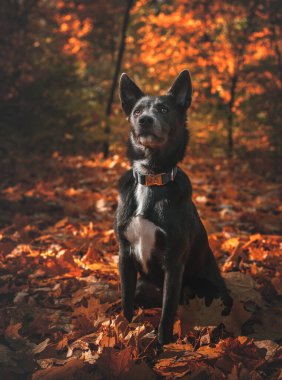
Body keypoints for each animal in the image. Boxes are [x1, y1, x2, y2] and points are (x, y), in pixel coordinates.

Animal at [114, 70, 231, 346]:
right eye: (137, 111)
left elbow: (167, 313)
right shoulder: (125, 255)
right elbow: (126, 302)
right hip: (144, 285)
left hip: (206, 290)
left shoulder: (174, 263)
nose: (145, 120)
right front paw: (124, 331)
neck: (152, 176)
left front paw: (162, 345)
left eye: (164, 109)